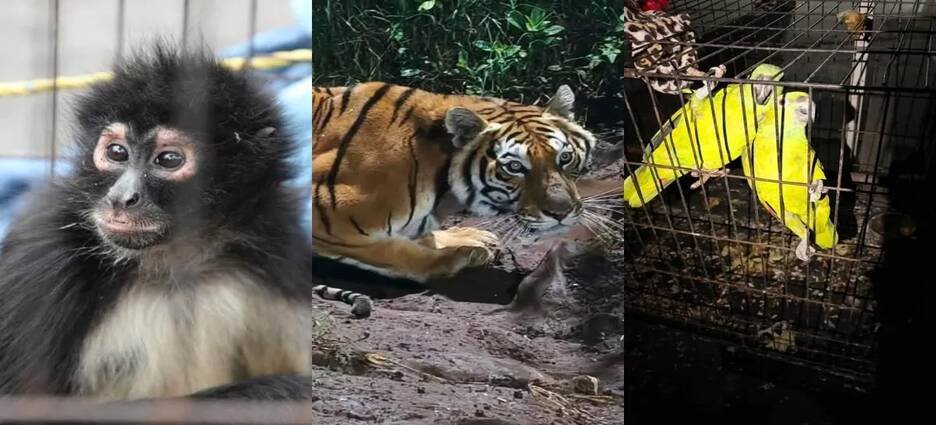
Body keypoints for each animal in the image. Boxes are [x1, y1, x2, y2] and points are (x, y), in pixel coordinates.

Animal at [0, 43, 371, 400]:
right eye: (117, 152)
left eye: (168, 159)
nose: (121, 198)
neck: (179, 263)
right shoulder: (44, 252)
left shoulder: (279, 247)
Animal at [311, 82, 597, 282]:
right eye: (515, 166)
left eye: (565, 157)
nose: (561, 214)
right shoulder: (327, 208)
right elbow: (396, 252)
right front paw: (461, 255)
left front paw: (471, 238)